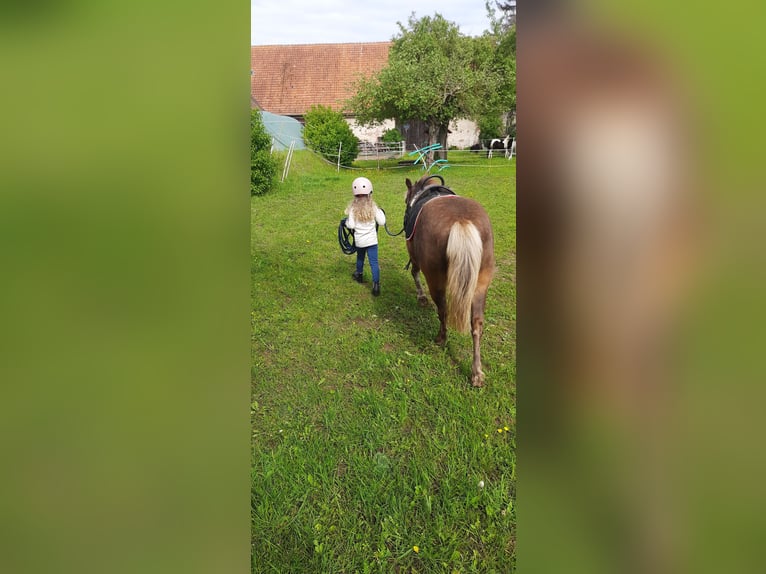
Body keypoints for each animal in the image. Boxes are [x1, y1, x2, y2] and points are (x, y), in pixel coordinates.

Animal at [402, 174, 498, 388]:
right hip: (480, 284)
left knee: (443, 310)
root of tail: (461, 221)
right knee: (476, 324)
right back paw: (476, 373)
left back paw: (441, 338)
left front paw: (421, 298)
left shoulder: (414, 255)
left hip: (435, 280)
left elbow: (414, 272)